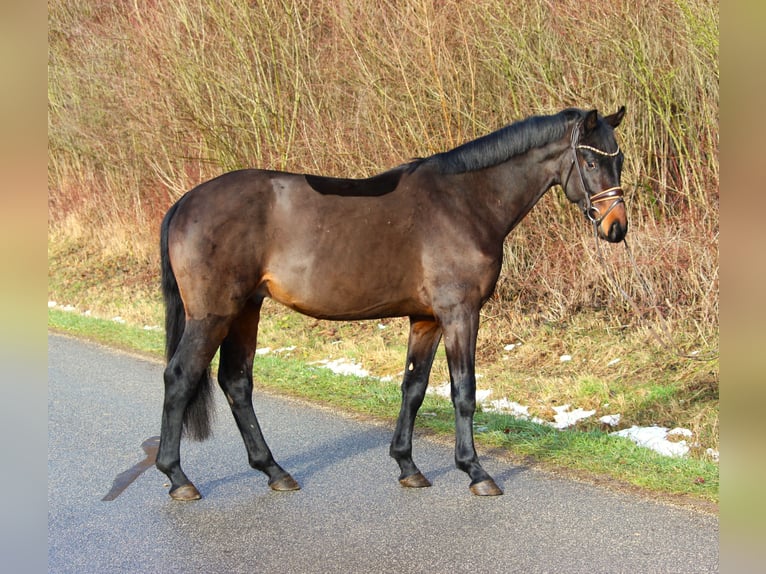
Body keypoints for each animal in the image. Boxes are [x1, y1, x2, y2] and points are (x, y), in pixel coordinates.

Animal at [158, 106, 632, 502]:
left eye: (619, 160)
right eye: (590, 162)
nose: (616, 228)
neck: (465, 201)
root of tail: (185, 202)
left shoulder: (426, 319)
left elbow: (414, 387)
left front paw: (408, 466)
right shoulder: (461, 313)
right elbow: (463, 391)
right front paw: (475, 471)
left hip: (245, 310)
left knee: (237, 382)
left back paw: (275, 471)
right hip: (213, 315)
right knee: (181, 378)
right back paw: (178, 478)